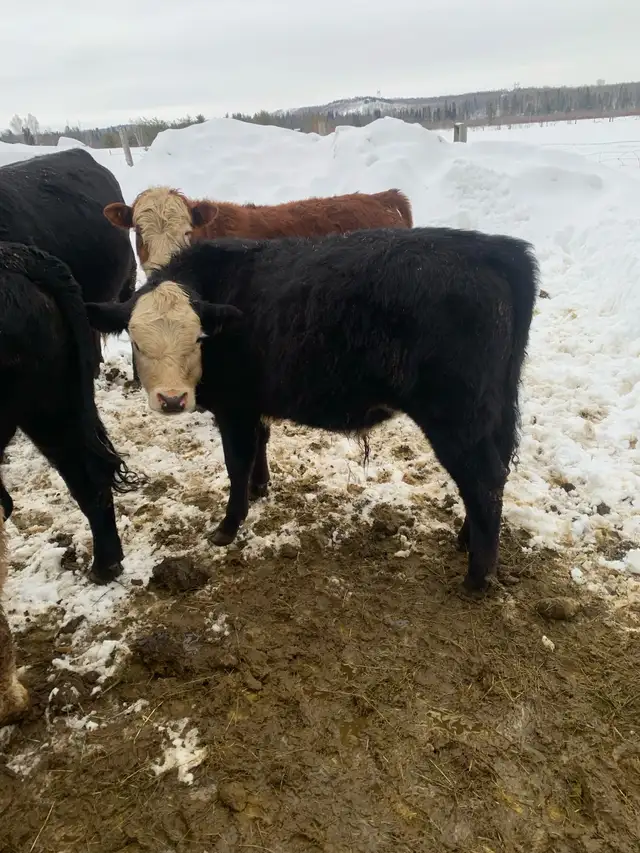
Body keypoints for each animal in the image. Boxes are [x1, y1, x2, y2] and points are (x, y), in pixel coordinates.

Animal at [85, 227, 538, 593]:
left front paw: (228, 526)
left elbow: (236, 462)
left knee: (483, 480)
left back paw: (477, 576)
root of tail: (492, 248)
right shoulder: (254, 405)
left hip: (456, 416)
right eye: (136, 340)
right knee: (496, 472)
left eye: (197, 337)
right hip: (495, 408)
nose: (172, 399)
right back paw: (467, 540)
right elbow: (259, 446)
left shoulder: (234, 407)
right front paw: (260, 488)